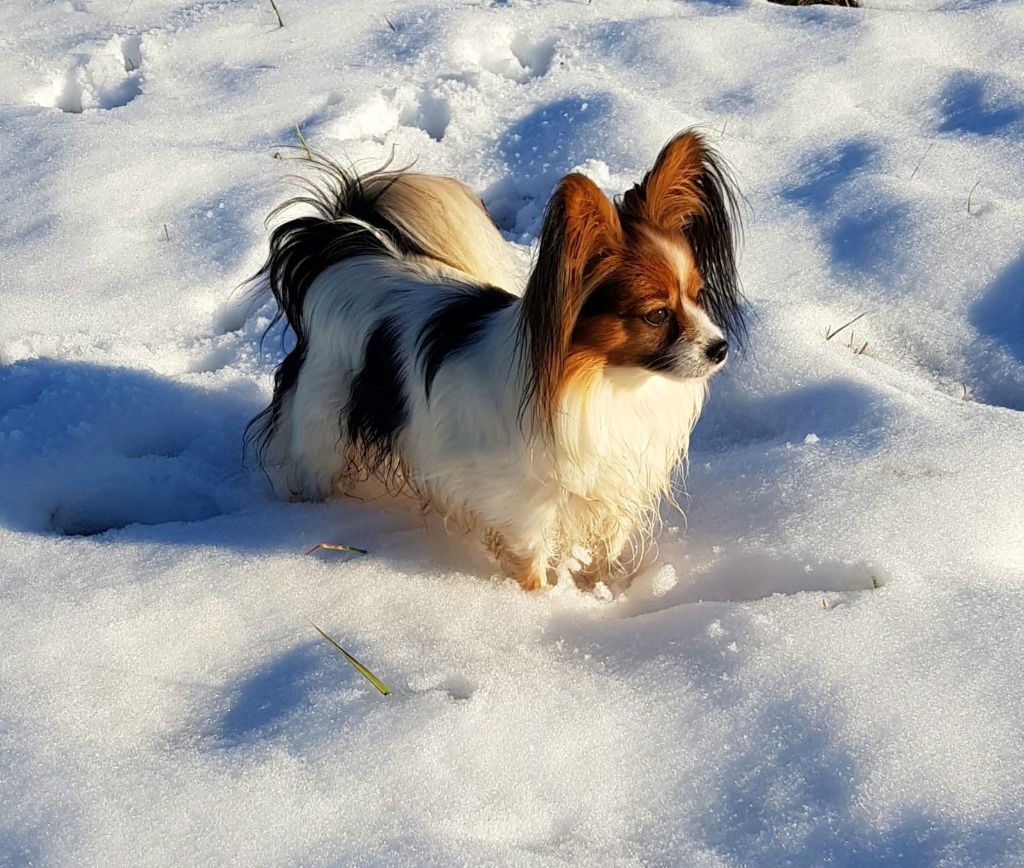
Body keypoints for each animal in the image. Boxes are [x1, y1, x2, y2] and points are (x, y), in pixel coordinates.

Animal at [247, 128, 745, 589]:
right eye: (657, 314)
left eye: (698, 296)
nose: (719, 348)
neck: (606, 380)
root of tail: (342, 247)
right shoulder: (526, 510)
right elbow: (532, 568)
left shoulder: (612, 495)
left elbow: (605, 555)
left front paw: (601, 595)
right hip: (324, 421)